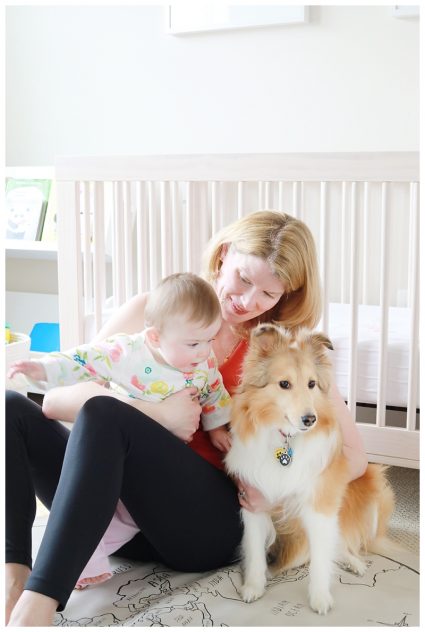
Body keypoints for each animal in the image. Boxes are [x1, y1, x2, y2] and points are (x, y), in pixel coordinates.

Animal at [224, 323, 395, 615]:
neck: (286, 442)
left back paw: (355, 562)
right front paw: (253, 587)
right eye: (284, 384)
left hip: (373, 483)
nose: (310, 419)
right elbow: (255, 551)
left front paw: (320, 597)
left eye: (312, 384)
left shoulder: (320, 505)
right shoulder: (253, 501)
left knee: (342, 542)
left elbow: (321, 559)